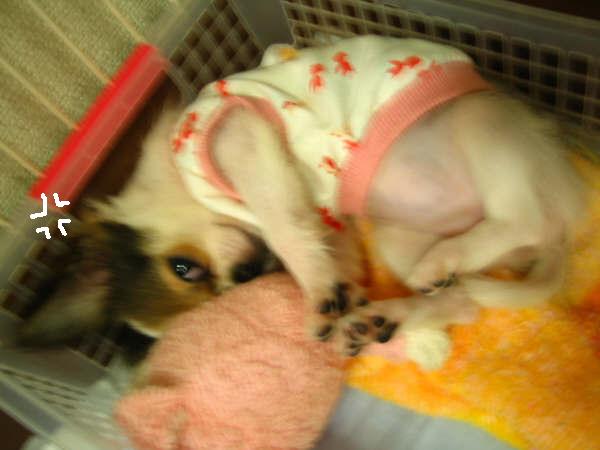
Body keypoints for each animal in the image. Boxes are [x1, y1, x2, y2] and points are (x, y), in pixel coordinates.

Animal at [18, 36, 587, 370]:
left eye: (184, 268)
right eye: (217, 293)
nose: (244, 275)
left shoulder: (240, 135)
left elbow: (285, 224)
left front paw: (315, 294)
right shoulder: (334, 229)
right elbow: (325, 249)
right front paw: (337, 299)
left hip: (478, 127)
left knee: (521, 220)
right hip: (399, 236)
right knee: (462, 301)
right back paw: (383, 318)